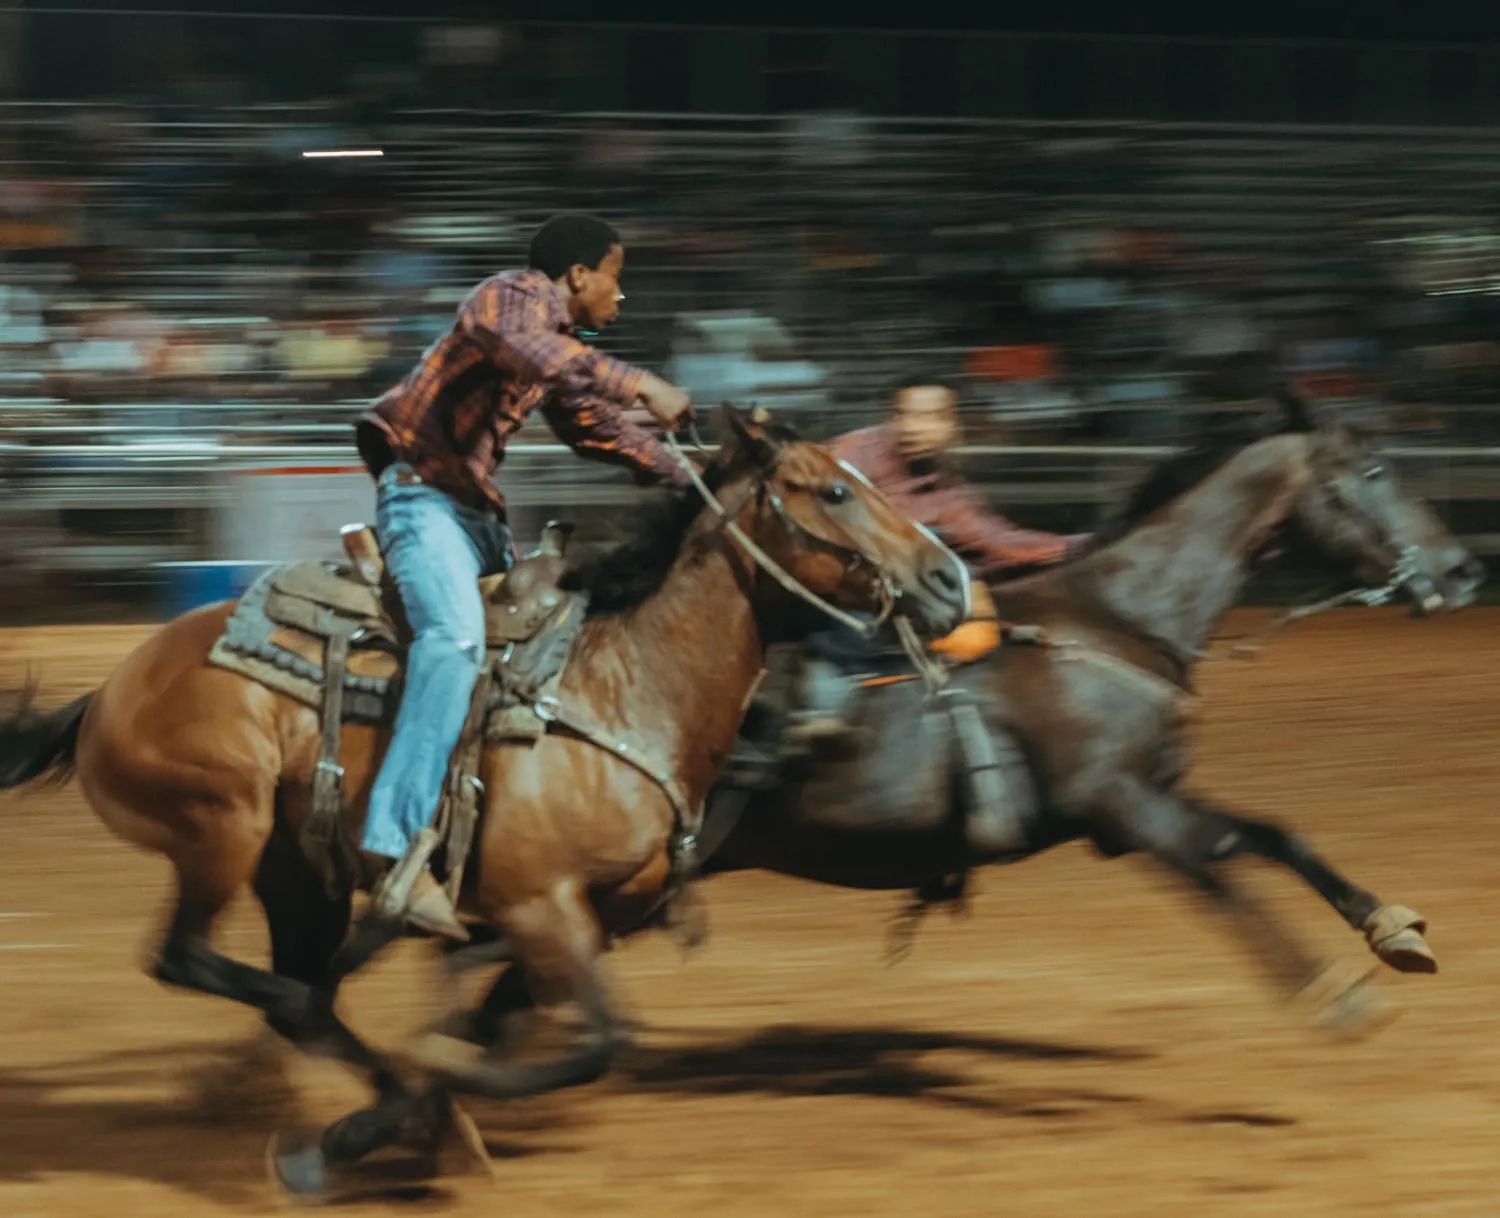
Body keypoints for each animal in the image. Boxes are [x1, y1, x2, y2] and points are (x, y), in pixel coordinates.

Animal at [0, 411, 966, 1200]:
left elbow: (506, 1030)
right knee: (200, 961)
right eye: (835, 489)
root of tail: (111, 688)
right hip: (219, 830)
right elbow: (594, 1042)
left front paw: (388, 1126)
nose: (950, 578)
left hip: (296, 869)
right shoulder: (540, 907)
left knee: (298, 986)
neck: (625, 685)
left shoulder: (593, 916)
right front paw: (409, 1102)